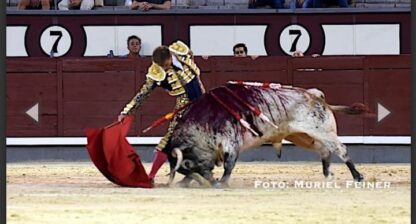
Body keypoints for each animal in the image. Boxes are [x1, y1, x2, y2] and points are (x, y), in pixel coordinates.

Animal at [165, 83, 368, 187]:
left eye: (188, 163)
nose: (212, 183)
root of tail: (315, 96)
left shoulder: (231, 141)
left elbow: (229, 164)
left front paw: (222, 182)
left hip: (323, 131)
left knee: (340, 149)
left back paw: (358, 177)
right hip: (301, 135)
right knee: (323, 150)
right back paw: (328, 174)